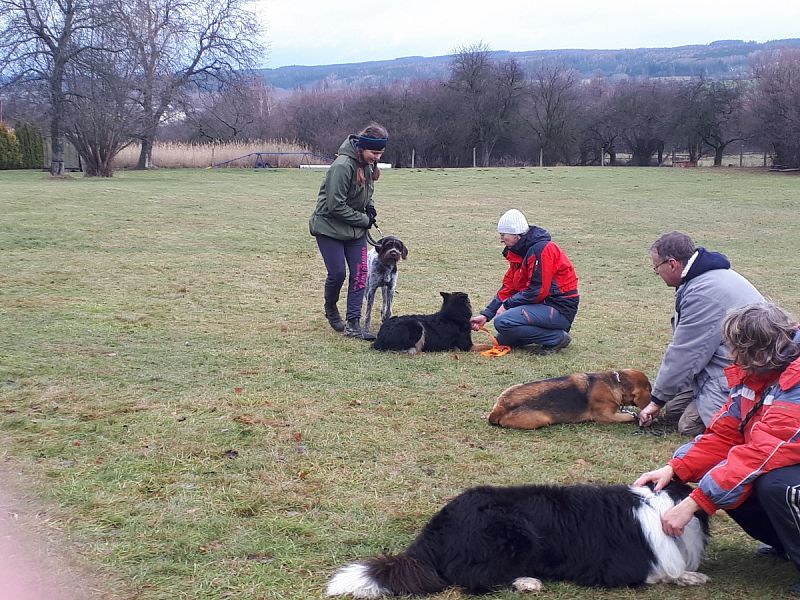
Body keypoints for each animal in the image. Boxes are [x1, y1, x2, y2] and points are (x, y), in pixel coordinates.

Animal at [328, 482, 708, 596]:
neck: (663, 505)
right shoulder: (614, 568)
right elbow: (659, 572)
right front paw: (687, 576)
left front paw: (693, 575)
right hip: (513, 531)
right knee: (473, 578)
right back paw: (527, 581)